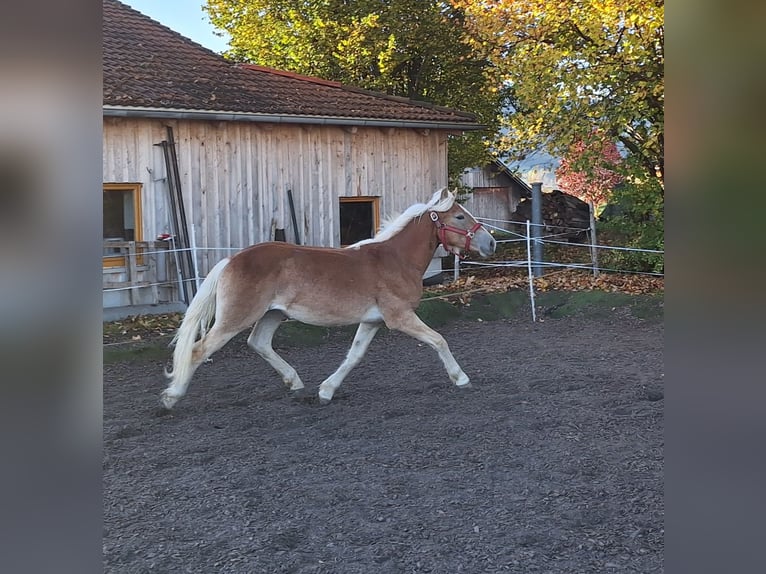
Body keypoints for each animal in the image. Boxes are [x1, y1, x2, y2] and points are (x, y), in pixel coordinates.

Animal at [162, 188, 498, 410]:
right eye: (459, 216)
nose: (491, 243)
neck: (395, 259)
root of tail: (231, 260)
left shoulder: (372, 321)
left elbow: (354, 356)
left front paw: (326, 391)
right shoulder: (399, 317)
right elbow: (439, 340)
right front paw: (461, 378)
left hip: (273, 314)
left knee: (258, 343)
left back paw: (296, 384)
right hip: (237, 316)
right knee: (198, 350)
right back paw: (171, 397)